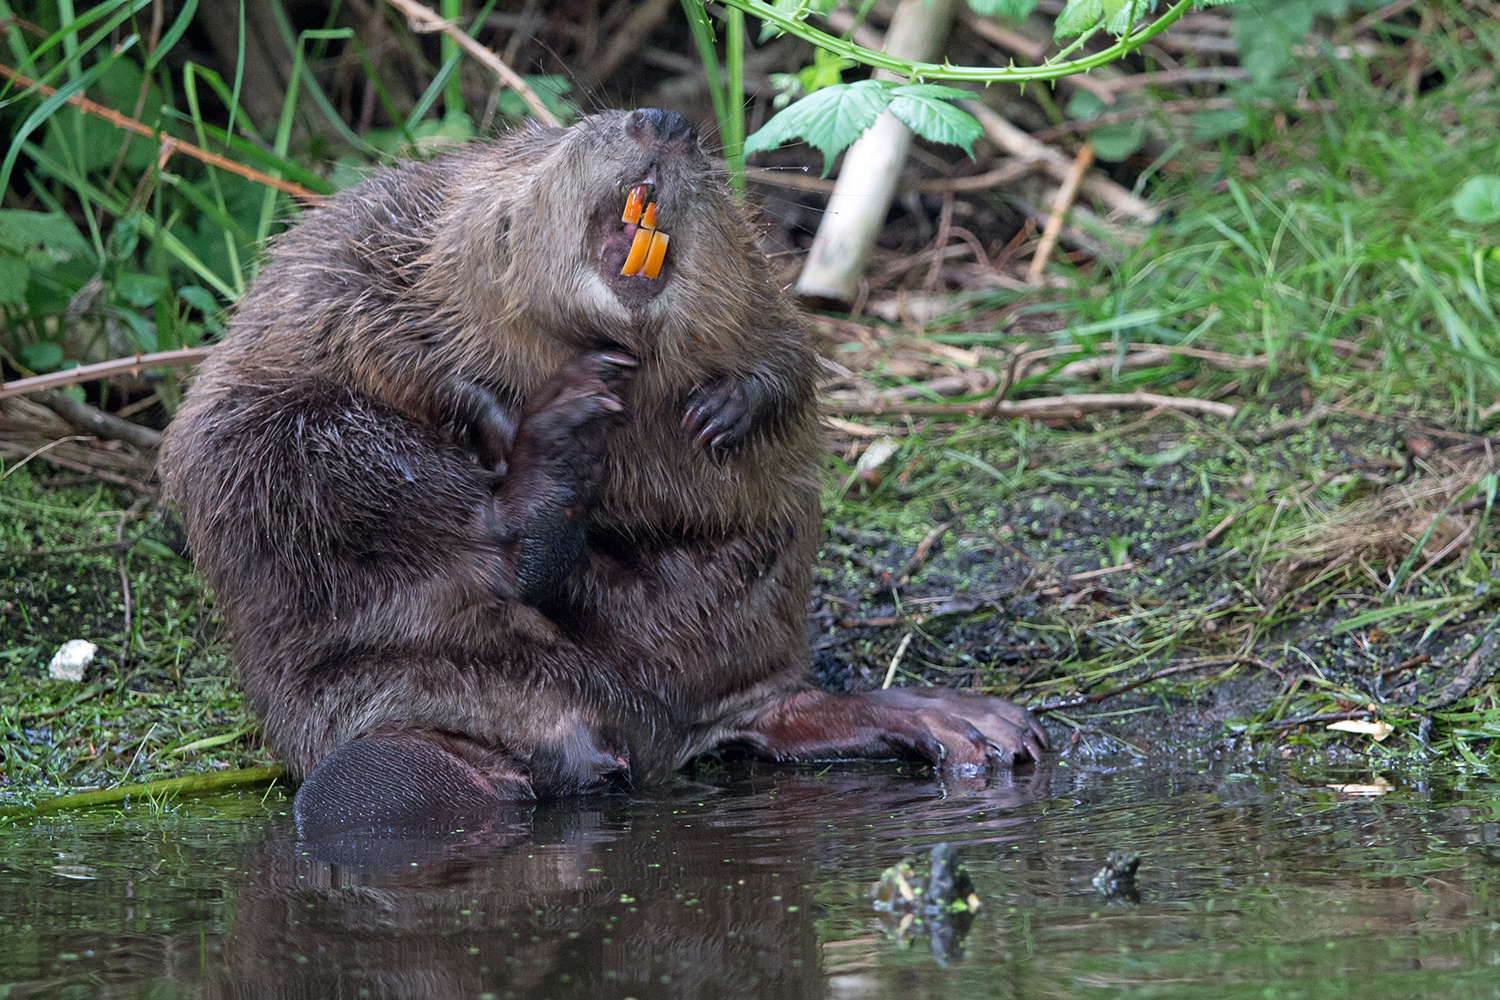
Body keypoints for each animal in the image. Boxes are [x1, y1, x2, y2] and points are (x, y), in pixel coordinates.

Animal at [155, 107, 1044, 845]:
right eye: (576, 130)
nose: (663, 120)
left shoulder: (755, 280)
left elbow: (791, 353)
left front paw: (723, 409)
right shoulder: (380, 257)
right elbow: (389, 344)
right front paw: (500, 410)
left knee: (768, 699)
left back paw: (978, 729)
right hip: (274, 459)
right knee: (386, 492)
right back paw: (554, 463)